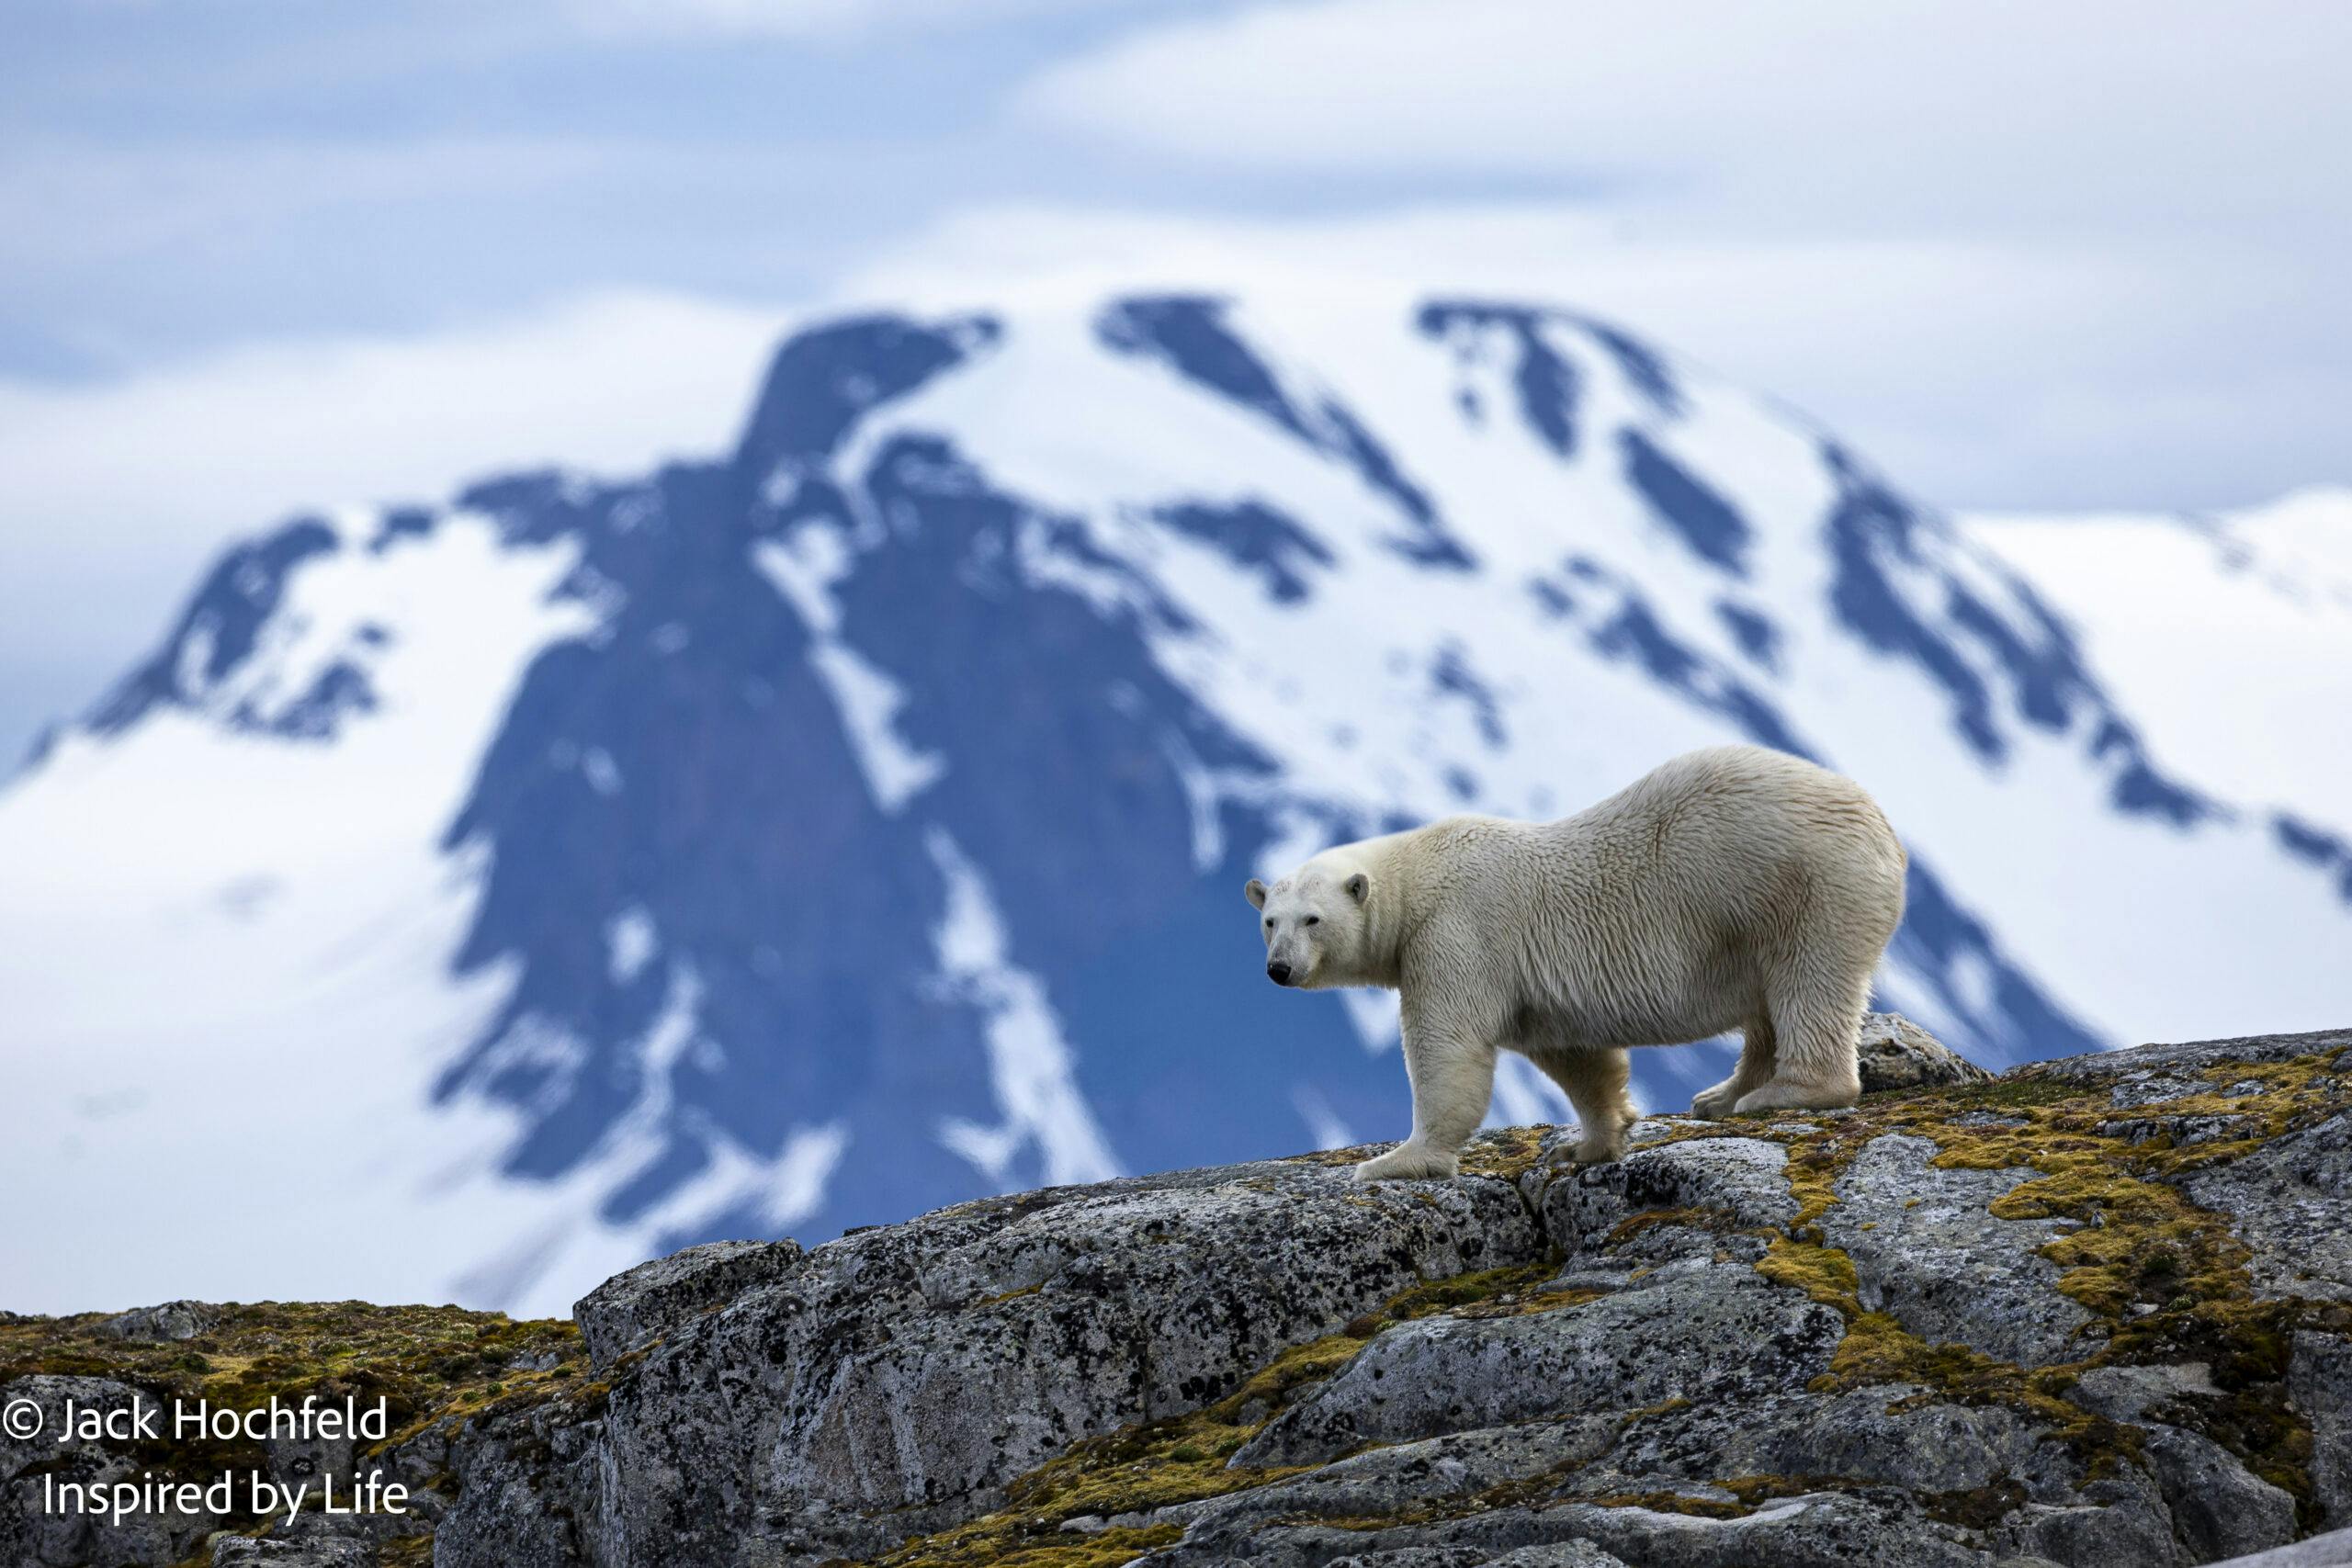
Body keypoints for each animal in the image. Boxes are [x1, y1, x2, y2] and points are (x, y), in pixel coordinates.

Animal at [1246, 744, 1907, 1181]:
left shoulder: (1456, 931)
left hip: (1801, 884)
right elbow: (1577, 1057)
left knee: (1808, 979)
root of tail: (1883, 826)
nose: (1279, 969)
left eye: (1312, 919)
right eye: (1270, 919)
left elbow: (1446, 1046)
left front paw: (1393, 1162)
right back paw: (1721, 1095)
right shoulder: (1532, 989)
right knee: (1768, 1003)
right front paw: (1588, 1144)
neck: (1420, 873)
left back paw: (1786, 1092)